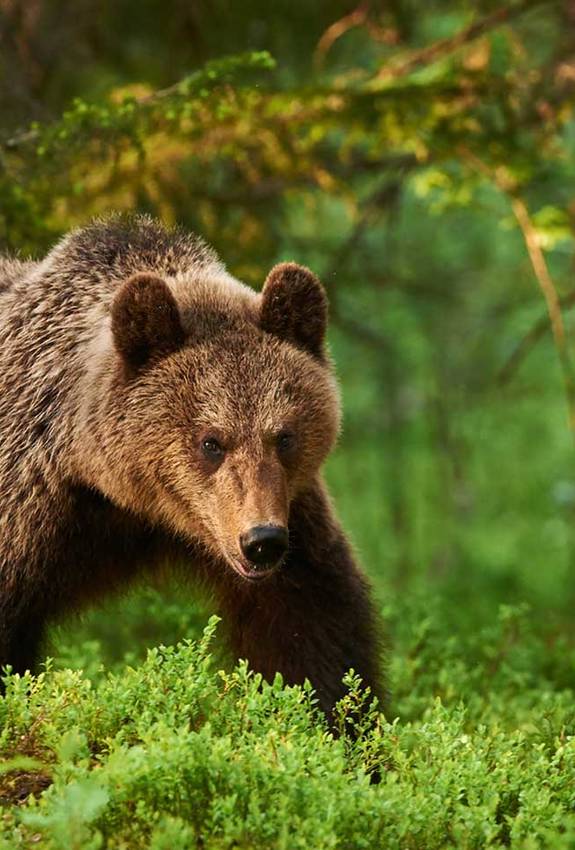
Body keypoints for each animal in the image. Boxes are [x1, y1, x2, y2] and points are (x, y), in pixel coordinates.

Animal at [1, 214, 388, 716]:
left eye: (284, 435)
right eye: (212, 441)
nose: (261, 542)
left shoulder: (289, 512)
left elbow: (309, 624)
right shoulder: (32, 505)